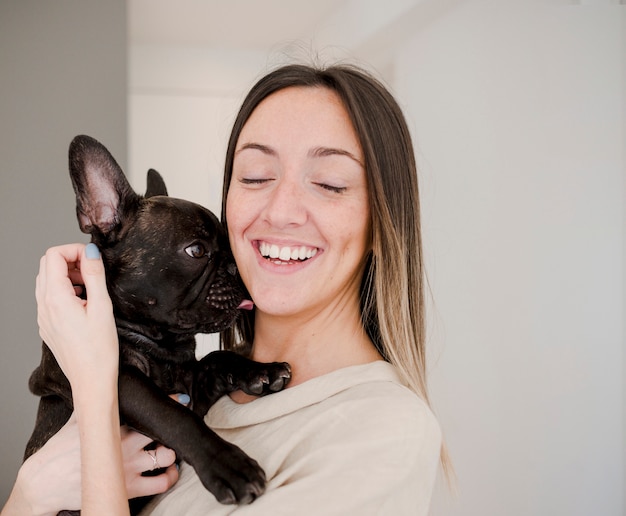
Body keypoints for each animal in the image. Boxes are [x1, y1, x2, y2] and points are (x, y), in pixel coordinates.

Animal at [23, 135, 288, 510]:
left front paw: (260, 370)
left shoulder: (195, 387)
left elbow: (216, 359)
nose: (238, 264)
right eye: (196, 250)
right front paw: (229, 464)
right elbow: (173, 415)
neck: (160, 342)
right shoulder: (118, 382)